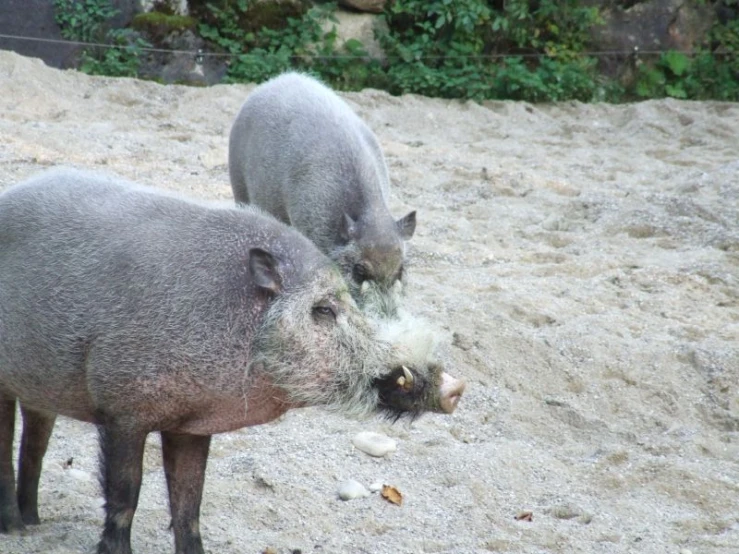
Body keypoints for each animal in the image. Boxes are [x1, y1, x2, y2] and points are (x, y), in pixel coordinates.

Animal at [0, 168, 462, 552]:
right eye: (323, 309)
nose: (455, 386)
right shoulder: (121, 412)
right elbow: (124, 497)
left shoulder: (190, 426)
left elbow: (190, 504)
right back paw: (16, 529)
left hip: (40, 390)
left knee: (35, 444)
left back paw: (34, 522)